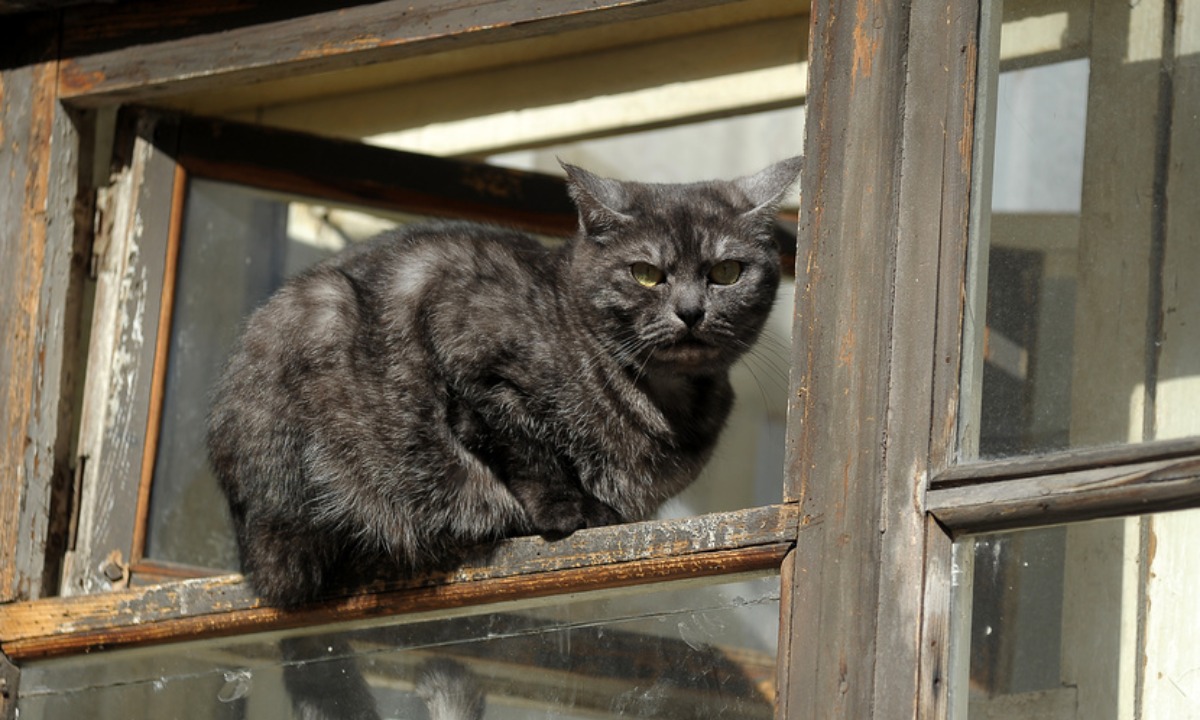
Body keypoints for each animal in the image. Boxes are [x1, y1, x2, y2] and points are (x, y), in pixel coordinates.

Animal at [210, 158, 801, 607]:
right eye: (646, 274)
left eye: (726, 272)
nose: (691, 311)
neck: (665, 402)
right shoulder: (466, 353)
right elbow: (524, 448)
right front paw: (572, 512)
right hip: (318, 319)